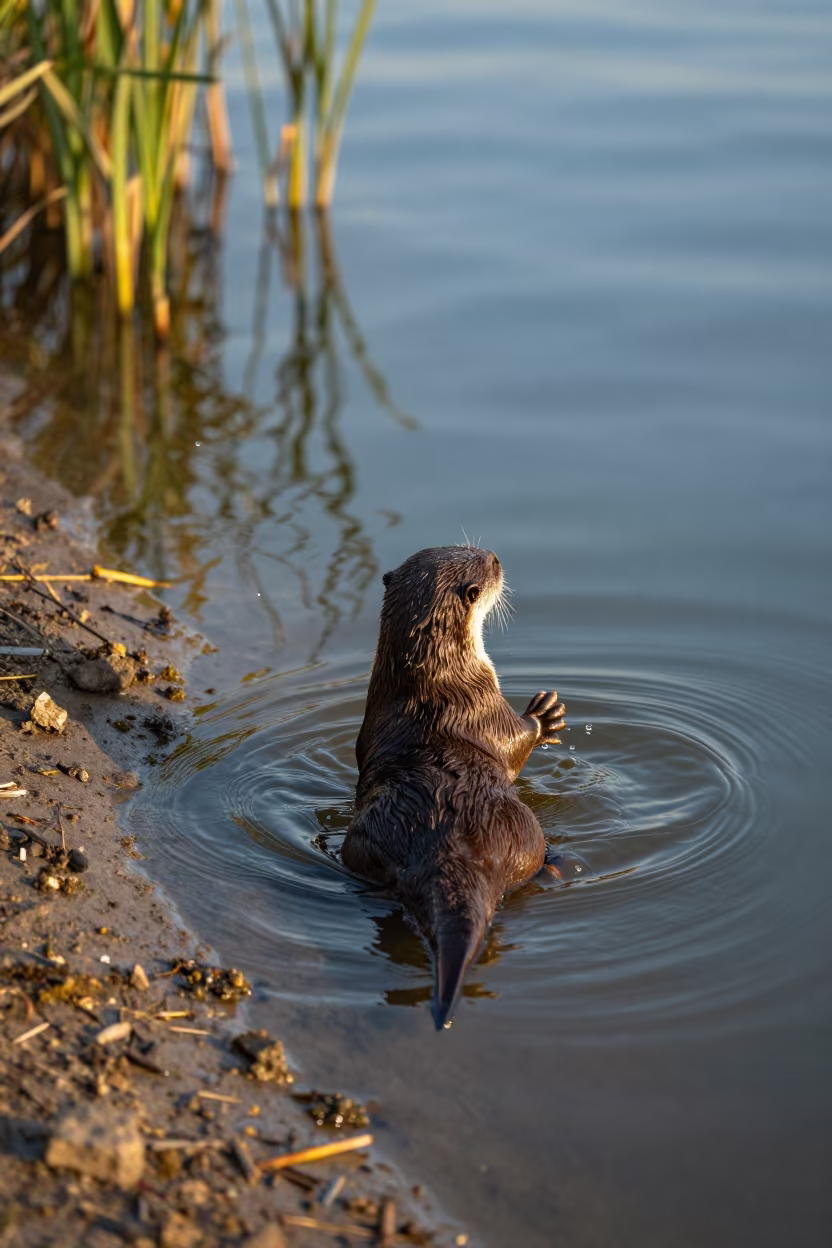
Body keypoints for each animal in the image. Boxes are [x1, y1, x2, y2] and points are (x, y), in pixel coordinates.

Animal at [341, 545, 565, 1029]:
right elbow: (515, 745)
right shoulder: (486, 703)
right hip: (523, 833)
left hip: (363, 847)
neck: (437, 678)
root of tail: (447, 845)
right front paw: (544, 716)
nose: (496, 554)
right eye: (491, 564)